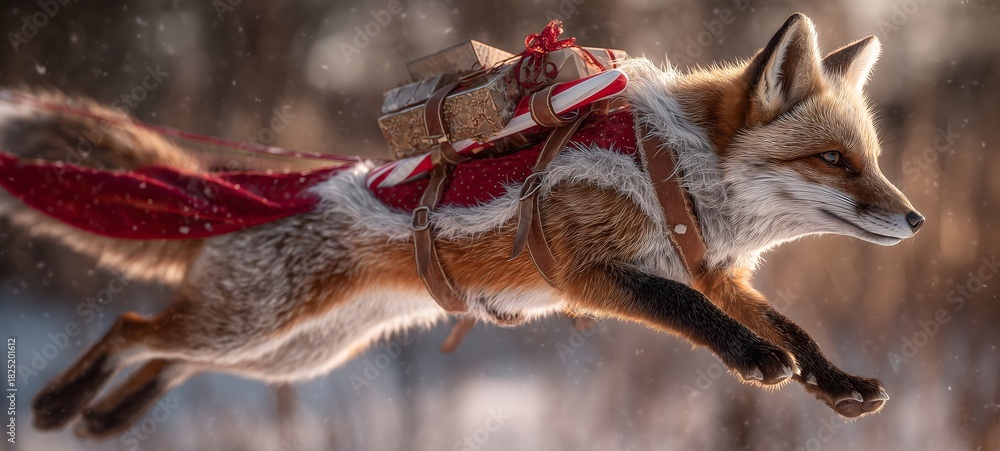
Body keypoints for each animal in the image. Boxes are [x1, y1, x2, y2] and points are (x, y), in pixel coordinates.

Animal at [0, 13, 923, 438]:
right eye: (835, 160)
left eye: (871, 159)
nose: (913, 218)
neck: (674, 167)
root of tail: (261, 190)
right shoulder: (588, 274)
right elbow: (693, 315)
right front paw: (755, 362)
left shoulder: (712, 265)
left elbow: (790, 325)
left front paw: (836, 384)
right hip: (257, 327)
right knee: (131, 327)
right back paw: (57, 403)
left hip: (292, 350)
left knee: (164, 354)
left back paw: (101, 420)